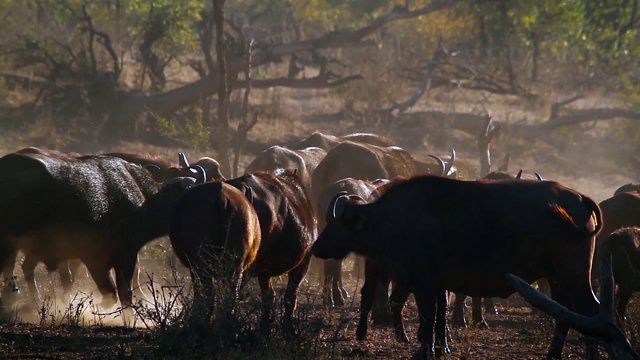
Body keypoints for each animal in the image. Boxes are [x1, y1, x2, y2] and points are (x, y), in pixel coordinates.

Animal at [312, 174, 604, 358]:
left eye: (337, 223)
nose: (316, 247)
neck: (395, 217)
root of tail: (580, 198)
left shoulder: (424, 284)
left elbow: (428, 318)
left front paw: (424, 351)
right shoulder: (435, 285)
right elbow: (436, 319)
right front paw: (437, 349)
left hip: (574, 277)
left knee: (589, 312)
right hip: (558, 279)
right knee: (565, 315)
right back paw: (552, 354)